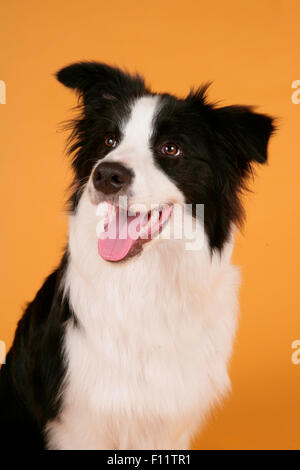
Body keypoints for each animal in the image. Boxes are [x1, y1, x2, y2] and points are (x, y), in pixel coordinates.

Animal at [0, 62, 274, 448]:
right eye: (109, 141)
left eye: (171, 148)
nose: (106, 174)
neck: (144, 281)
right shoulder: (80, 422)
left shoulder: (171, 424)